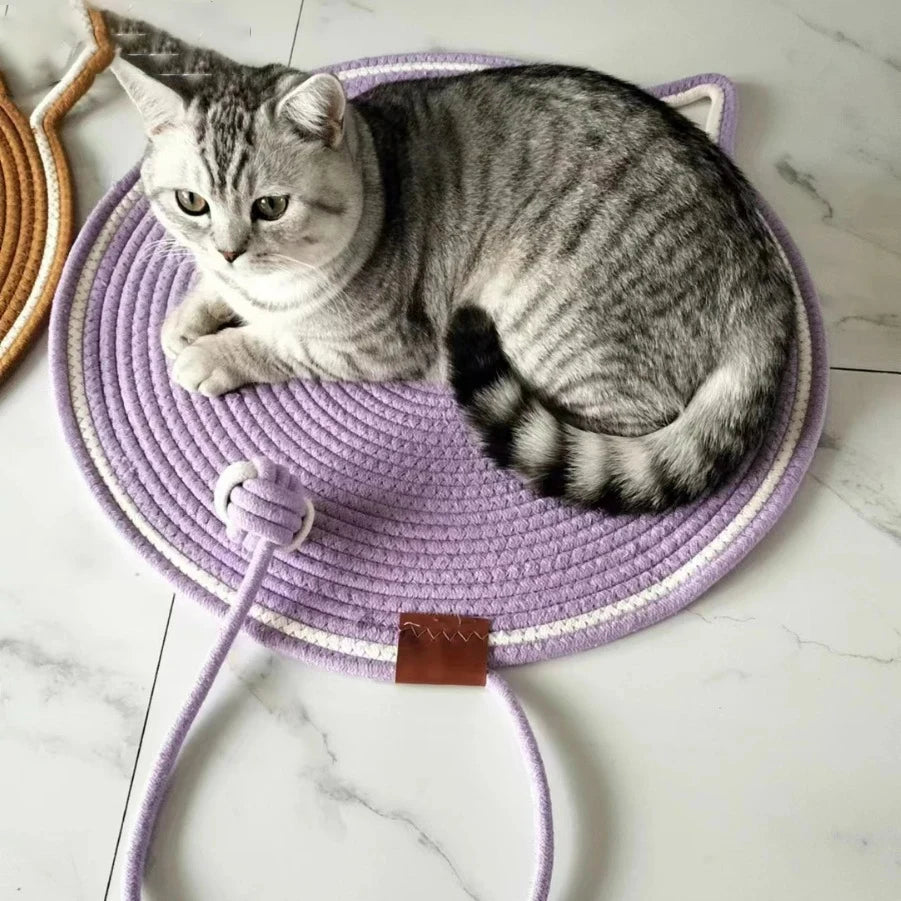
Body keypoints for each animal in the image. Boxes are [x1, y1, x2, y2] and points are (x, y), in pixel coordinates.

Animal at [107, 12, 796, 512]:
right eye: (191, 202)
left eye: (271, 206)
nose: (230, 248)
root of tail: (764, 282)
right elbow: (215, 291)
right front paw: (190, 316)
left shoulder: (377, 345)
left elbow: (279, 342)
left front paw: (213, 352)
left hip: (550, 326)